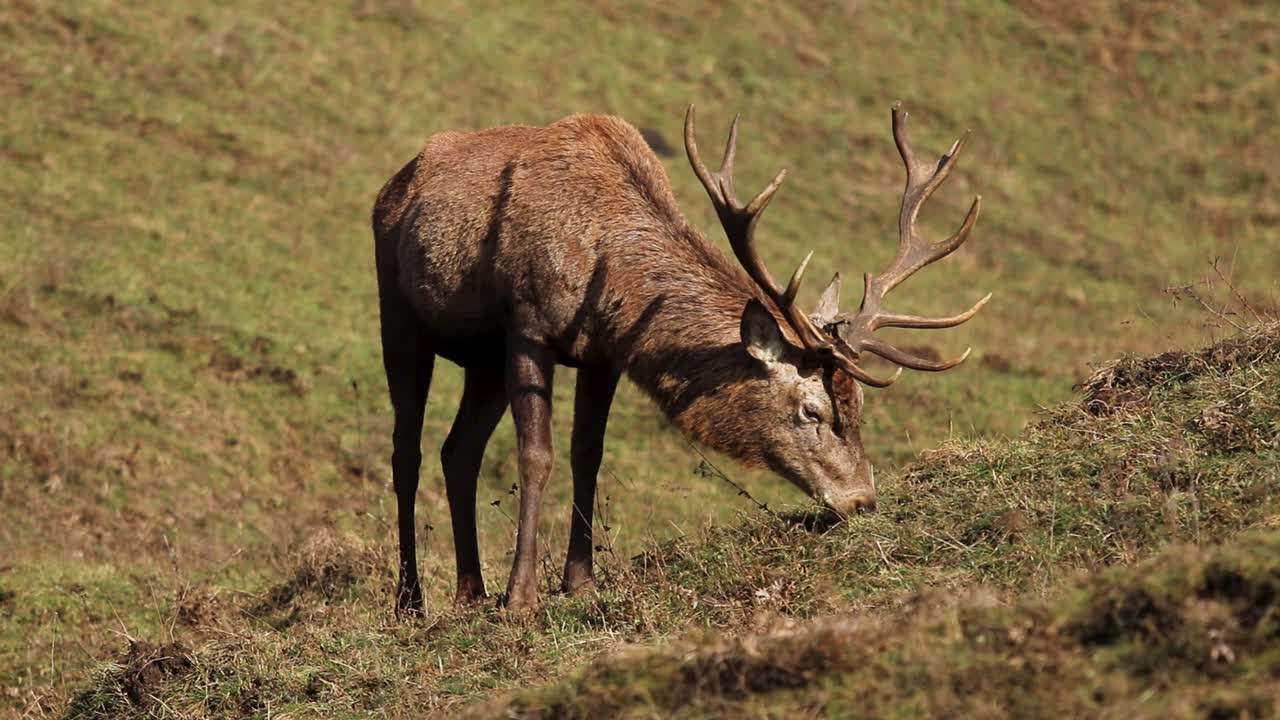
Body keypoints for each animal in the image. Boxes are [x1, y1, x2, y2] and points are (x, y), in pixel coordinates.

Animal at [372, 103, 988, 615]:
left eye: (858, 407)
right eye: (810, 410)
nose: (863, 500)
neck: (603, 269)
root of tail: (392, 185)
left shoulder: (603, 354)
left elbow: (586, 455)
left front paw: (581, 583)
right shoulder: (526, 327)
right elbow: (537, 456)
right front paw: (521, 598)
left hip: (482, 359)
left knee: (459, 452)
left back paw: (470, 592)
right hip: (399, 315)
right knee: (407, 453)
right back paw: (412, 600)